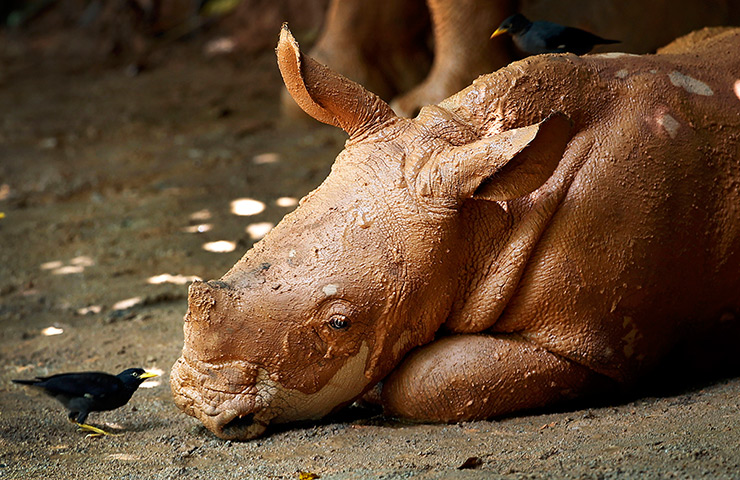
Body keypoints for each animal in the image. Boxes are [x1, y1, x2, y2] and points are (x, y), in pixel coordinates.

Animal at [171, 25, 740, 440]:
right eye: (254, 248)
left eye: (340, 324)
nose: (197, 403)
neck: (486, 217)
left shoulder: (590, 341)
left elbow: (424, 381)